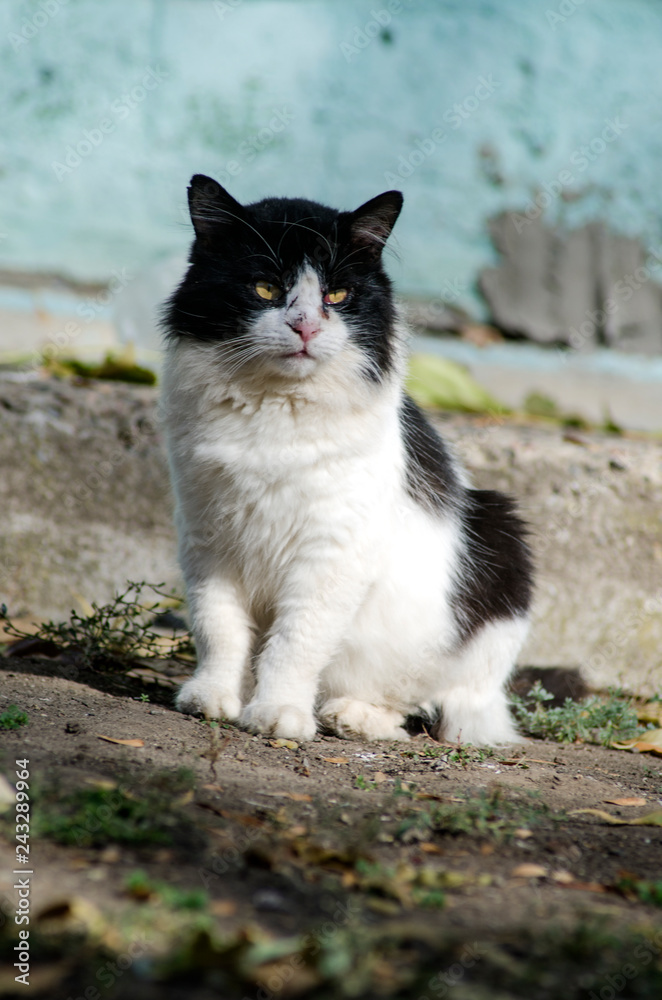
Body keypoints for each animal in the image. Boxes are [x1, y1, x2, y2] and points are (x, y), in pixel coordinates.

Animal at [163, 176, 536, 748]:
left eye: (336, 296)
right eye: (265, 289)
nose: (305, 327)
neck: (276, 408)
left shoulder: (330, 553)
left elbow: (295, 642)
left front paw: (279, 714)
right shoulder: (207, 539)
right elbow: (218, 629)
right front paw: (213, 698)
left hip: (501, 541)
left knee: (428, 705)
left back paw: (351, 715)